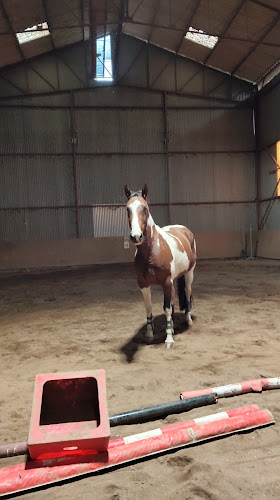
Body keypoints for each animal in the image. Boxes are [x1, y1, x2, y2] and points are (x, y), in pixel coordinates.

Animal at [124, 182, 197, 350]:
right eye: (127, 209)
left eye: (145, 208)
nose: (136, 236)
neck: (152, 250)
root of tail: (185, 230)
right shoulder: (143, 284)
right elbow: (149, 307)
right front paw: (150, 334)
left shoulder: (166, 282)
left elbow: (167, 308)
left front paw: (169, 340)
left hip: (189, 273)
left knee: (187, 292)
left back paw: (188, 319)